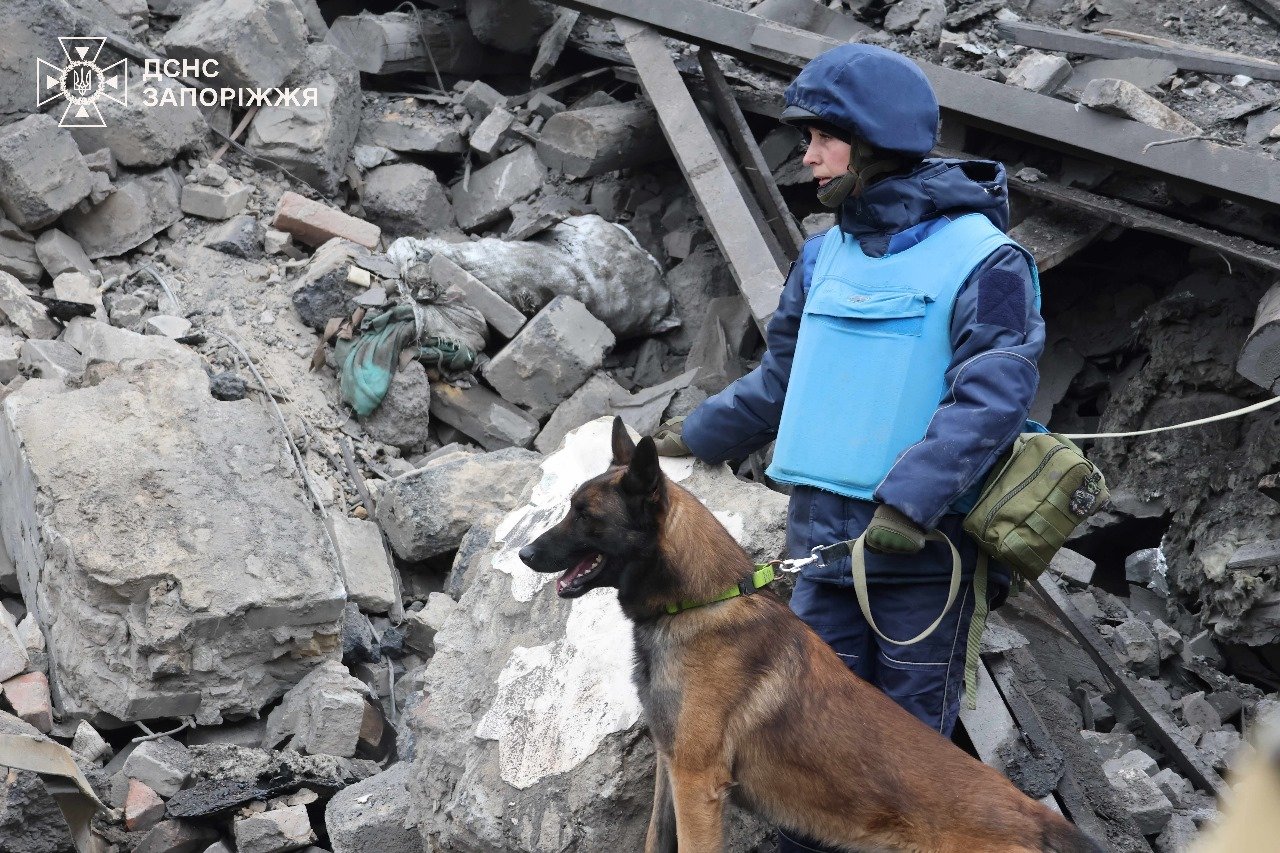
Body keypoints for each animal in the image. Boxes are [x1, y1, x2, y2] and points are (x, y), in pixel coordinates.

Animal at [517, 417, 1100, 850]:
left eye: (585, 515)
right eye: (571, 507)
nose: (524, 553)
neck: (699, 604)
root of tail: (1038, 819)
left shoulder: (697, 784)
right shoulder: (671, 769)